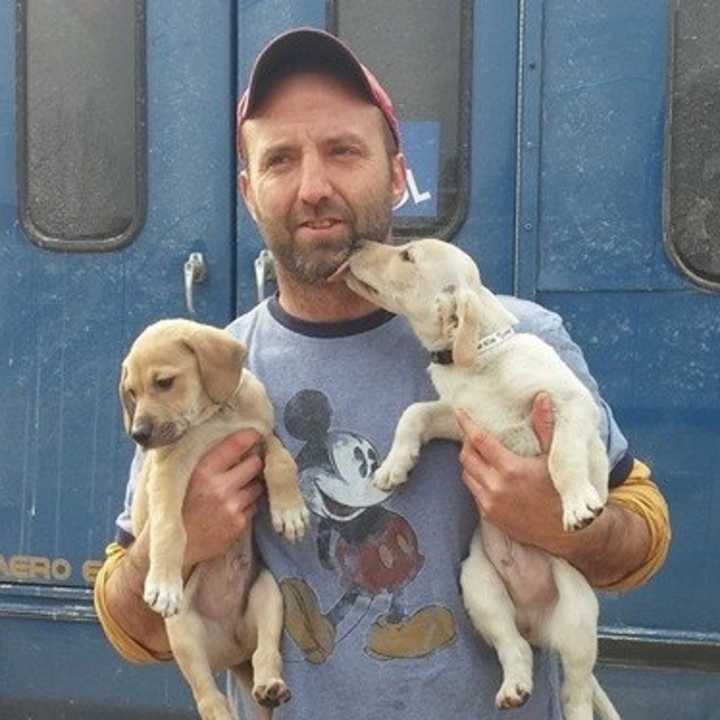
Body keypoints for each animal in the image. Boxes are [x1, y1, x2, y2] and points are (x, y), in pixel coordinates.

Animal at [119, 320, 310, 720]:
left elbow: (281, 460)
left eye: (163, 382)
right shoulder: (168, 475)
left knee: (265, 653)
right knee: (207, 695)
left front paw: (289, 511)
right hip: (183, 632)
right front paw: (163, 583)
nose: (138, 435)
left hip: (269, 595)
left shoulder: (260, 435)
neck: (215, 419)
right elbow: (169, 529)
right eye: (131, 393)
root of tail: (232, 650)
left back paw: (269, 685)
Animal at [342, 242, 620, 720]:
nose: (358, 246)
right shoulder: (459, 418)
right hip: (479, 587)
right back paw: (514, 687)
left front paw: (576, 503)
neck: (482, 359)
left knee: (577, 690)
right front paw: (394, 466)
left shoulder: (569, 403)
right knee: (513, 647)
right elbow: (414, 412)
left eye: (407, 255)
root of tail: (535, 622)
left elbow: (562, 456)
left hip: (579, 615)